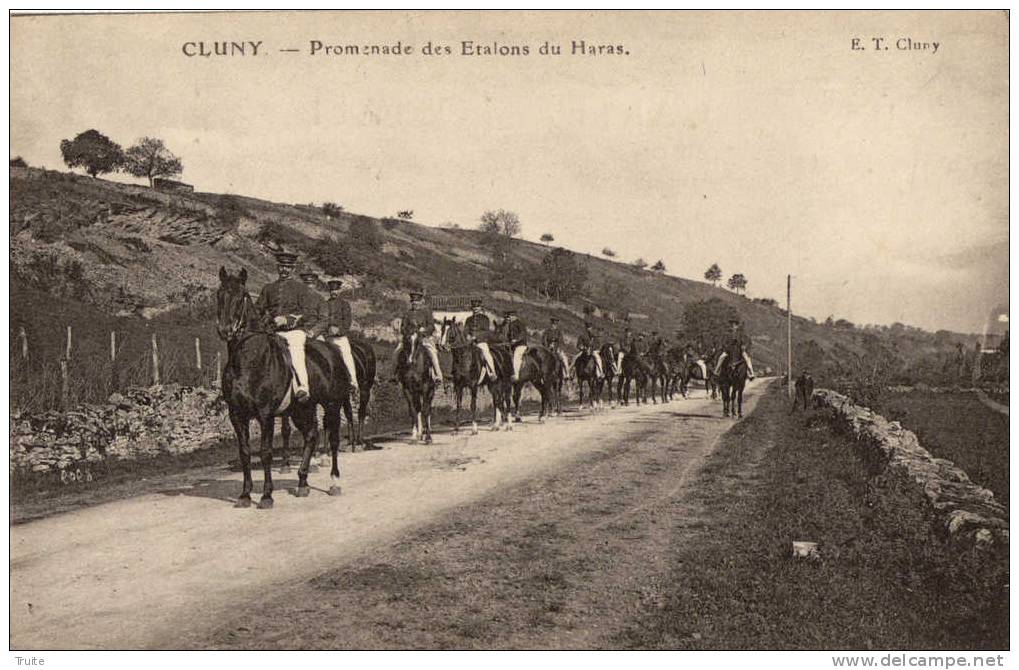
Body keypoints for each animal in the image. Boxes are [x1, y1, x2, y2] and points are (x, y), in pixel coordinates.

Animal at [217, 266, 348, 507]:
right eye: (219, 295)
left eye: (241, 297)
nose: (225, 330)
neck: (248, 361)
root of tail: (331, 351)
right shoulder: (236, 414)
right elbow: (245, 452)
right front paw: (245, 495)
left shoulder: (265, 415)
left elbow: (265, 452)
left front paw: (266, 496)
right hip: (301, 409)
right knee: (311, 436)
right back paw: (302, 482)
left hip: (332, 405)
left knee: (333, 440)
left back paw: (334, 482)